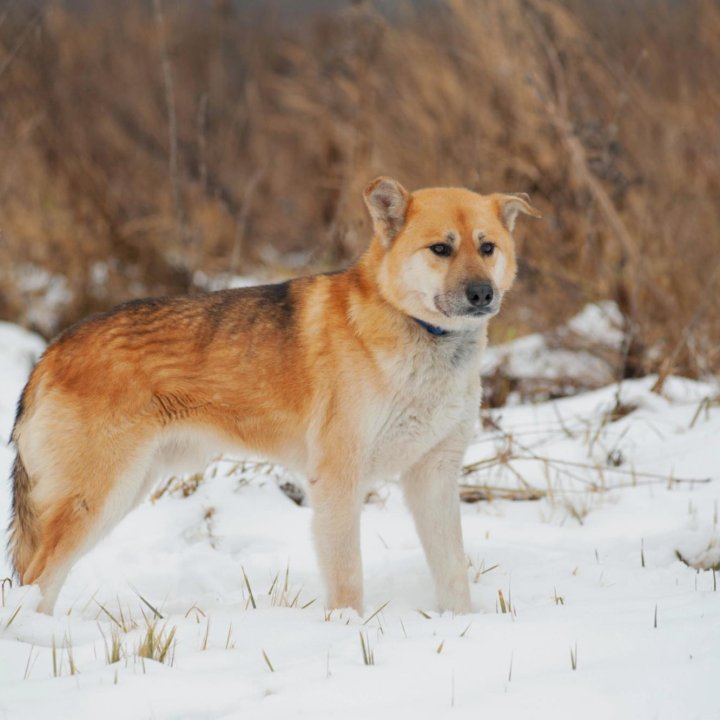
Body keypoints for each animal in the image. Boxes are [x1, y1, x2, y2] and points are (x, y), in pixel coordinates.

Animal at [7, 176, 540, 612]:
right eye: (441, 249)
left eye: (487, 247)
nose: (482, 294)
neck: (420, 337)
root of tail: (50, 352)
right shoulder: (338, 480)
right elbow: (348, 581)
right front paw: (352, 633)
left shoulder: (433, 478)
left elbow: (452, 576)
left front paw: (460, 625)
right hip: (97, 498)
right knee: (36, 580)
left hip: (125, 491)